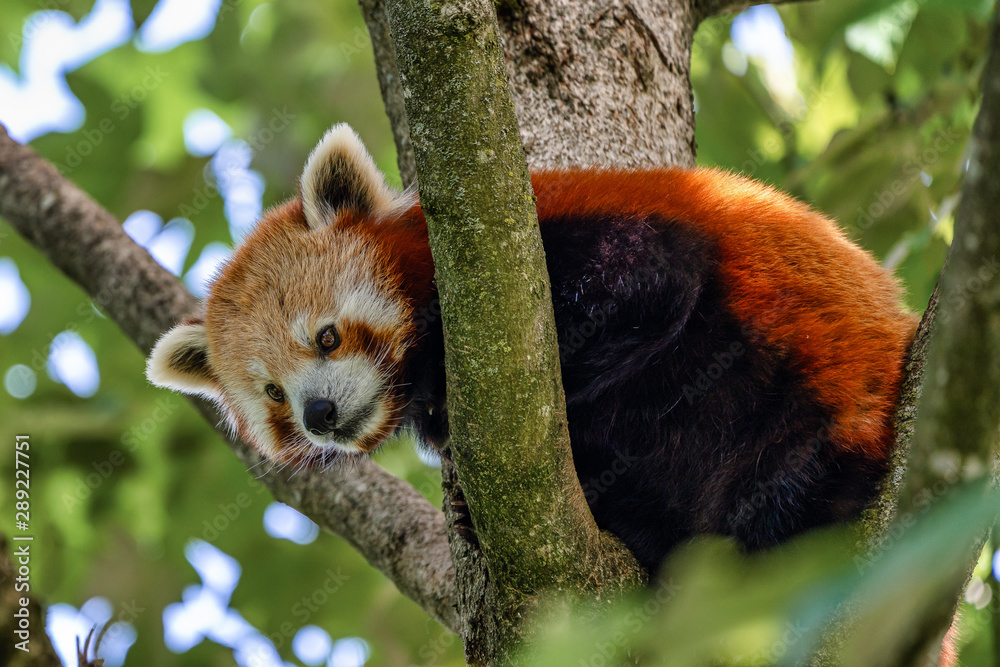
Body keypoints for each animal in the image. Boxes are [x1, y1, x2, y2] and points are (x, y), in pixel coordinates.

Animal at [147, 124, 917, 572]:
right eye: (272, 394)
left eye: (327, 336)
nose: (320, 415)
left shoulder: (557, 236)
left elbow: (653, 278)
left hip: (809, 394)